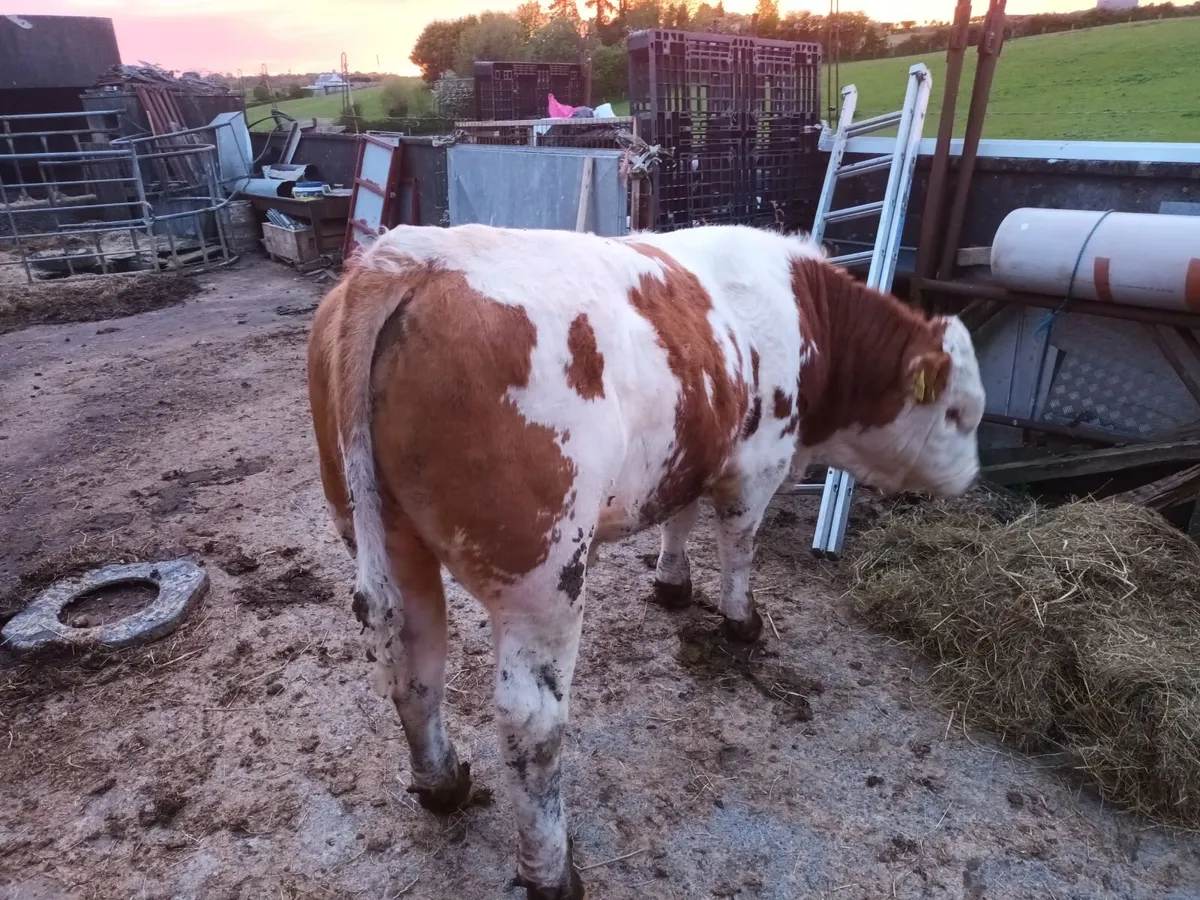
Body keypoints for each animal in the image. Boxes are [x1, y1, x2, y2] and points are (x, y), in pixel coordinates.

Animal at [306, 223, 984, 899]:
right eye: (959, 413)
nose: (973, 478)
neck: (806, 311)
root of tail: (411, 255)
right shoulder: (755, 465)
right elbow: (740, 547)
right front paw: (741, 621)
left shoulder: (692, 452)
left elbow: (680, 518)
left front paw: (672, 585)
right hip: (543, 574)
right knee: (531, 721)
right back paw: (552, 871)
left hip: (387, 537)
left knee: (415, 669)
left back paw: (443, 783)